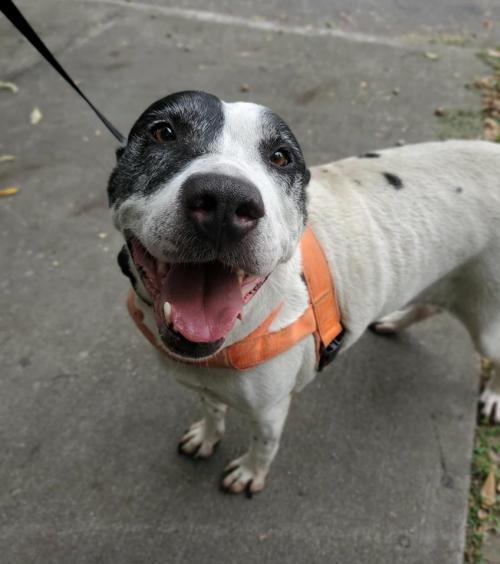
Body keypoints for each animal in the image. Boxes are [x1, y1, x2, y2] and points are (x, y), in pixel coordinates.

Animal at [108, 90, 500, 495]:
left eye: (281, 157)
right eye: (163, 132)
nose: (225, 201)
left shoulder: (270, 411)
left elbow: (264, 444)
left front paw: (251, 472)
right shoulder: (205, 386)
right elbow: (213, 410)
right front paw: (207, 435)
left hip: (488, 324)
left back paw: (491, 397)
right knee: (429, 306)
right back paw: (395, 322)